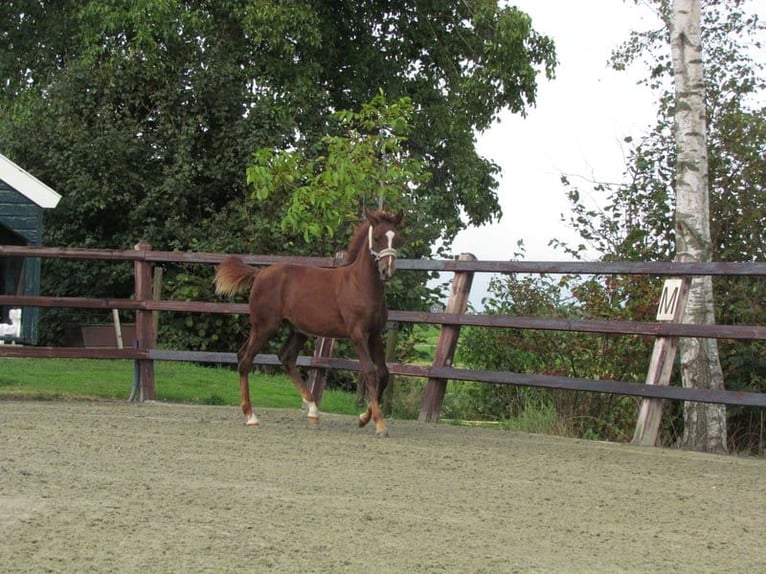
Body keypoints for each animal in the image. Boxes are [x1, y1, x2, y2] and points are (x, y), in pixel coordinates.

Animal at [213, 209, 404, 438]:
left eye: (397, 238)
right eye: (376, 238)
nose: (387, 271)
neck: (359, 284)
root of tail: (259, 274)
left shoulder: (375, 335)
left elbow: (383, 373)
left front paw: (362, 418)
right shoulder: (358, 335)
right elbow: (370, 373)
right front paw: (379, 424)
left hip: (296, 330)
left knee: (283, 357)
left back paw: (313, 411)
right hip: (266, 327)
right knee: (246, 360)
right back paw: (251, 416)